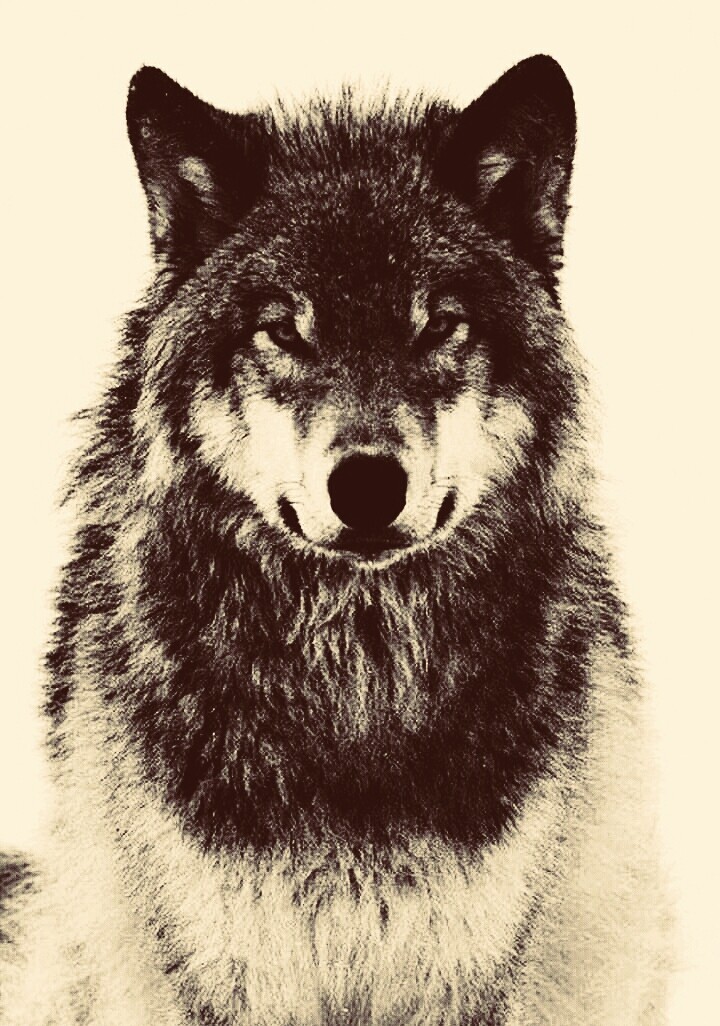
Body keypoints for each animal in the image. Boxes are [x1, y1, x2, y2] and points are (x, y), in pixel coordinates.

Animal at [0, 55, 669, 1025]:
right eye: (284, 328)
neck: (356, 680)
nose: (366, 486)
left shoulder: (474, 958)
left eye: (439, 325)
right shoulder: (224, 960)